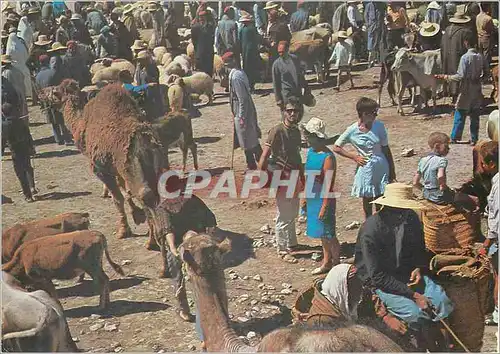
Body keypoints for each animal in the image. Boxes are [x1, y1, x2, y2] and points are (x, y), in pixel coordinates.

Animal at [50, 79, 168, 248]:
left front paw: (123, 230)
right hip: (158, 164)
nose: (47, 101)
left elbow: (117, 199)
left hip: (134, 169)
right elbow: (125, 191)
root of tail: (145, 142)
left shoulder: (100, 169)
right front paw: (135, 214)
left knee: (145, 194)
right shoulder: (116, 168)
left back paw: (151, 241)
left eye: (55, 93)